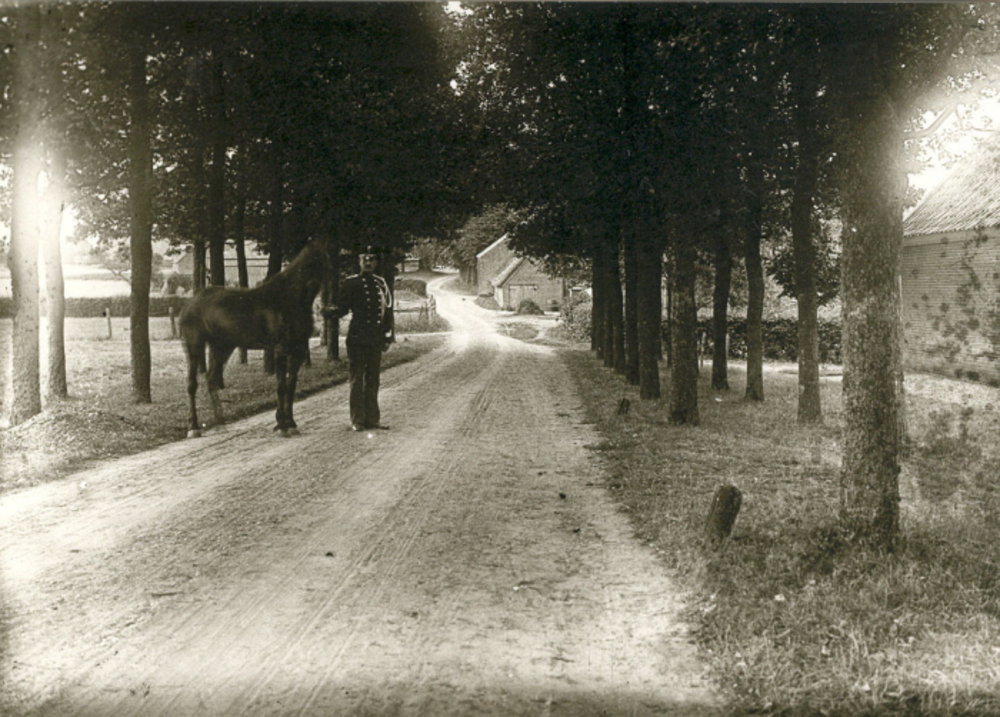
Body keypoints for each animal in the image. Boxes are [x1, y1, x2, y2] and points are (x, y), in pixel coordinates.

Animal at [179, 239, 328, 438]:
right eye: (314, 259)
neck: (286, 299)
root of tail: (189, 303)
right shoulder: (281, 348)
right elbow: (281, 386)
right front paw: (282, 425)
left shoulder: (298, 350)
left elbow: (291, 386)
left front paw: (290, 423)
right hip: (194, 345)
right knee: (191, 384)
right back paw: (193, 427)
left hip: (222, 347)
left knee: (211, 379)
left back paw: (221, 422)